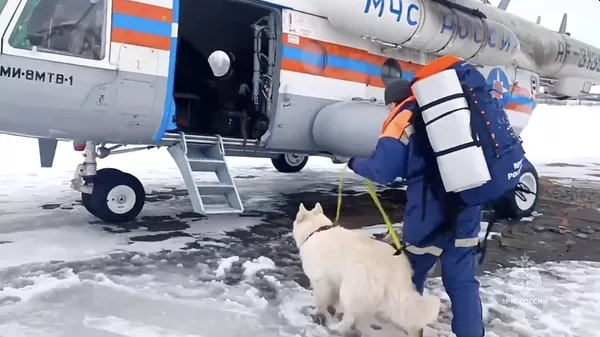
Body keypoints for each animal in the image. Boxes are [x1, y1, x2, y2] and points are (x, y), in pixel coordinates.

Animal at [294, 201, 440, 334]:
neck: (316, 230)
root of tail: (392, 269)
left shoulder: (319, 281)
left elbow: (320, 300)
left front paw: (316, 311)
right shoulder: (333, 281)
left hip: (349, 290)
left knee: (350, 318)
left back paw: (336, 327)